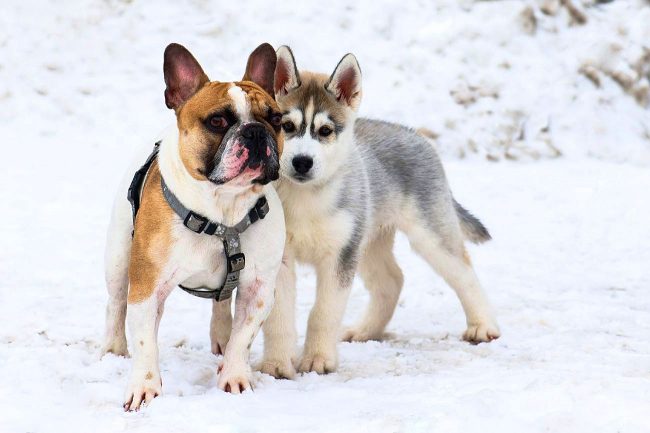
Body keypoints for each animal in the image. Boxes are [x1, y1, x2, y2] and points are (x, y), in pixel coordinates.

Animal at [101, 41, 284, 408]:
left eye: (275, 119)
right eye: (217, 120)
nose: (256, 130)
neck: (223, 213)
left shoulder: (259, 289)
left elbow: (243, 336)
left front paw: (234, 376)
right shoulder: (147, 287)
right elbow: (145, 342)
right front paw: (144, 388)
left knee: (222, 303)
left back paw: (221, 340)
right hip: (117, 258)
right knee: (115, 303)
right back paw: (112, 349)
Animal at [256, 46, 496, 378]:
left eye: (325, 130)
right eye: (287, 126)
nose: (302, 162)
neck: (306, 198)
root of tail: (415, 134)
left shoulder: (340, 256)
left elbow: (323, 313)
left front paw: (318, 360)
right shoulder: (279, 256)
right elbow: (278, 316)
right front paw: (277, 364)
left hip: (428, 235)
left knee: (464, 272)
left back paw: (483, 326)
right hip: (369, 242)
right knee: (391, 281)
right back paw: (365, 331)